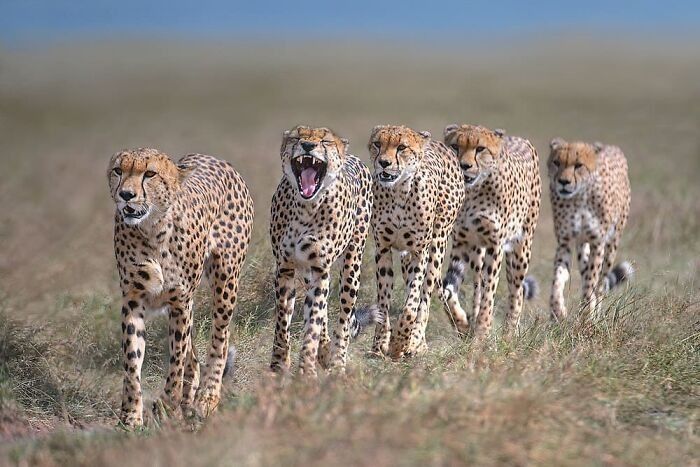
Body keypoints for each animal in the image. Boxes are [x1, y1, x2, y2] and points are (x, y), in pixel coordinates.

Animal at [108, 148, 253, 427]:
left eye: (149, 174)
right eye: (118, 171)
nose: (126, 195)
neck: (152, 228)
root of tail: (213, 157)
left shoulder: (180, 302)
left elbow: (176, 360)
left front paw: (166, 406)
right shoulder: (133, 299)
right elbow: (132, 361)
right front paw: (130, 417)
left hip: (226, 280)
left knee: (220, 338)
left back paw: (207, 398)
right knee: (193, 357)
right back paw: (188, 402)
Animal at [269, 125, 380, 377]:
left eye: (325, 141)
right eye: (297, 137)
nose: (308, 145)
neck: (305, 207)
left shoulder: (321, 268)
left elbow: (313, 325)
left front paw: (306, 371)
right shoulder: (285, 268)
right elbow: (283, 321)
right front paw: (278, 365)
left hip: (352, 265)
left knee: (343, 315)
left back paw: (337, 362)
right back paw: (325, 350)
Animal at [368, 125, 465, 359]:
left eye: (401, 147)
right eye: (377, 144)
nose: (383, 162)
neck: (398, 192)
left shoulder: (419, 252)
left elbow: (412, 304)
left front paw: (400, 342)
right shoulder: (383, 249)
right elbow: (383, 301)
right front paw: (380, 344)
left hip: (437, 244)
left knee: (426, 298)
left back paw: (416, 341)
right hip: (406, 257)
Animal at [441, 124, 541, 341]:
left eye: (480, 149)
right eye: (455, 146)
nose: (464, 165)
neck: (472, 192)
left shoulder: (496, 246)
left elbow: (490, 292)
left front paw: (482, 332)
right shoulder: (461, 243)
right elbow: (448, 292)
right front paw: (461, 323)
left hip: (521, 249)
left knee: (516, 292)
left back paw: (509, 334)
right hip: (477, 252)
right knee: (477, 285)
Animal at [547, 138, 632, 319]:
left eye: (579, 165)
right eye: (556, 163)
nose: (563, 182)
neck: (579, 197)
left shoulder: (597, 242)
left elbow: (592, 280)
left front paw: (587, 315)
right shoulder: (565, 242)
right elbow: (558, 278)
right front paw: (557, 310)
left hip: (612, 244)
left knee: (600, 284)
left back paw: (596, 311)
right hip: (582, 244)